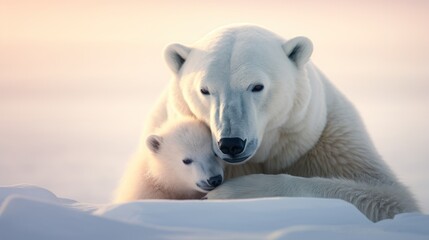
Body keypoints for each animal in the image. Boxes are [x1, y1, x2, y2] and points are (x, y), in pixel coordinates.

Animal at [145, 24, 418, 221]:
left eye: (257, 86)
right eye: (205, 90)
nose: (232, 143)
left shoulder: (329, 139)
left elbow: (389, 196)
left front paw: (233, 192)